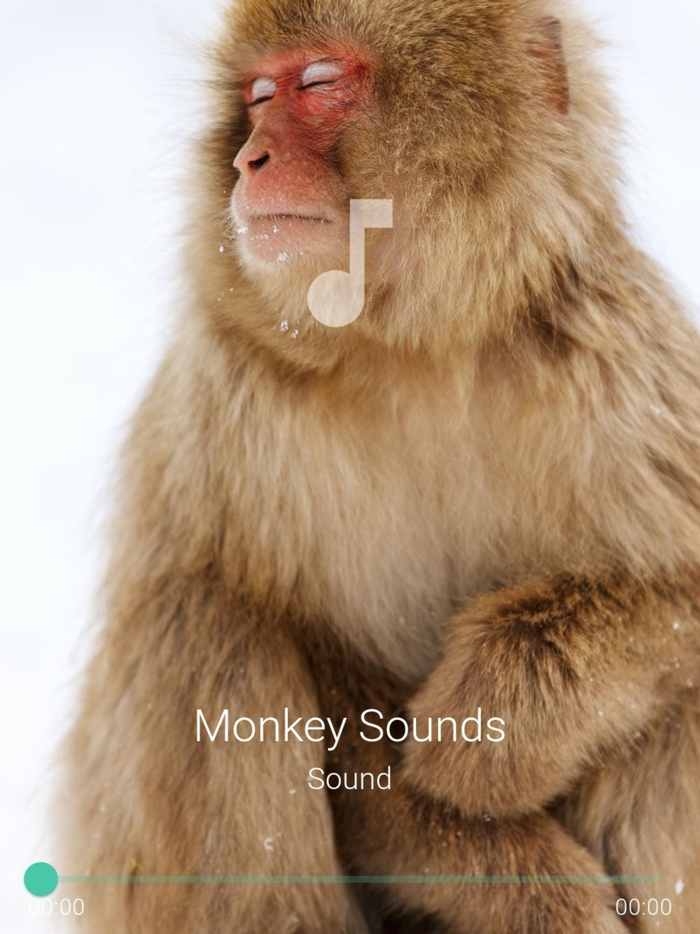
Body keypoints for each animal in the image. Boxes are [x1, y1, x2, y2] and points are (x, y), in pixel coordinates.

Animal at [57, 0, 700, 932]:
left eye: (320, 83)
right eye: (257, 97)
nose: (249, 159)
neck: (413, 348)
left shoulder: (623, 361)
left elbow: (677, 590)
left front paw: (503, 721)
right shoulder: (233, 411)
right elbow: (324, 681)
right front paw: (538, 892)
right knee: (209, 620)